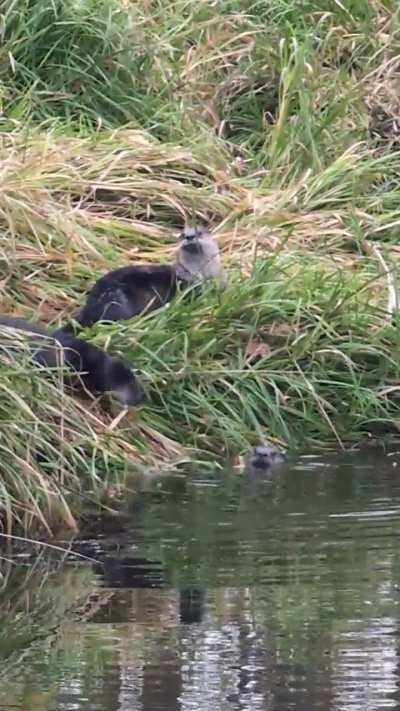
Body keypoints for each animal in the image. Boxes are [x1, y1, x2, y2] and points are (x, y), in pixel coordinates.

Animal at [67, 226, 226, 329]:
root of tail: (90, 304)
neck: (204, 275)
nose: (189, 237)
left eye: (199, 233)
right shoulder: (189, 287)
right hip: (117, 301)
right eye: (182, 234)